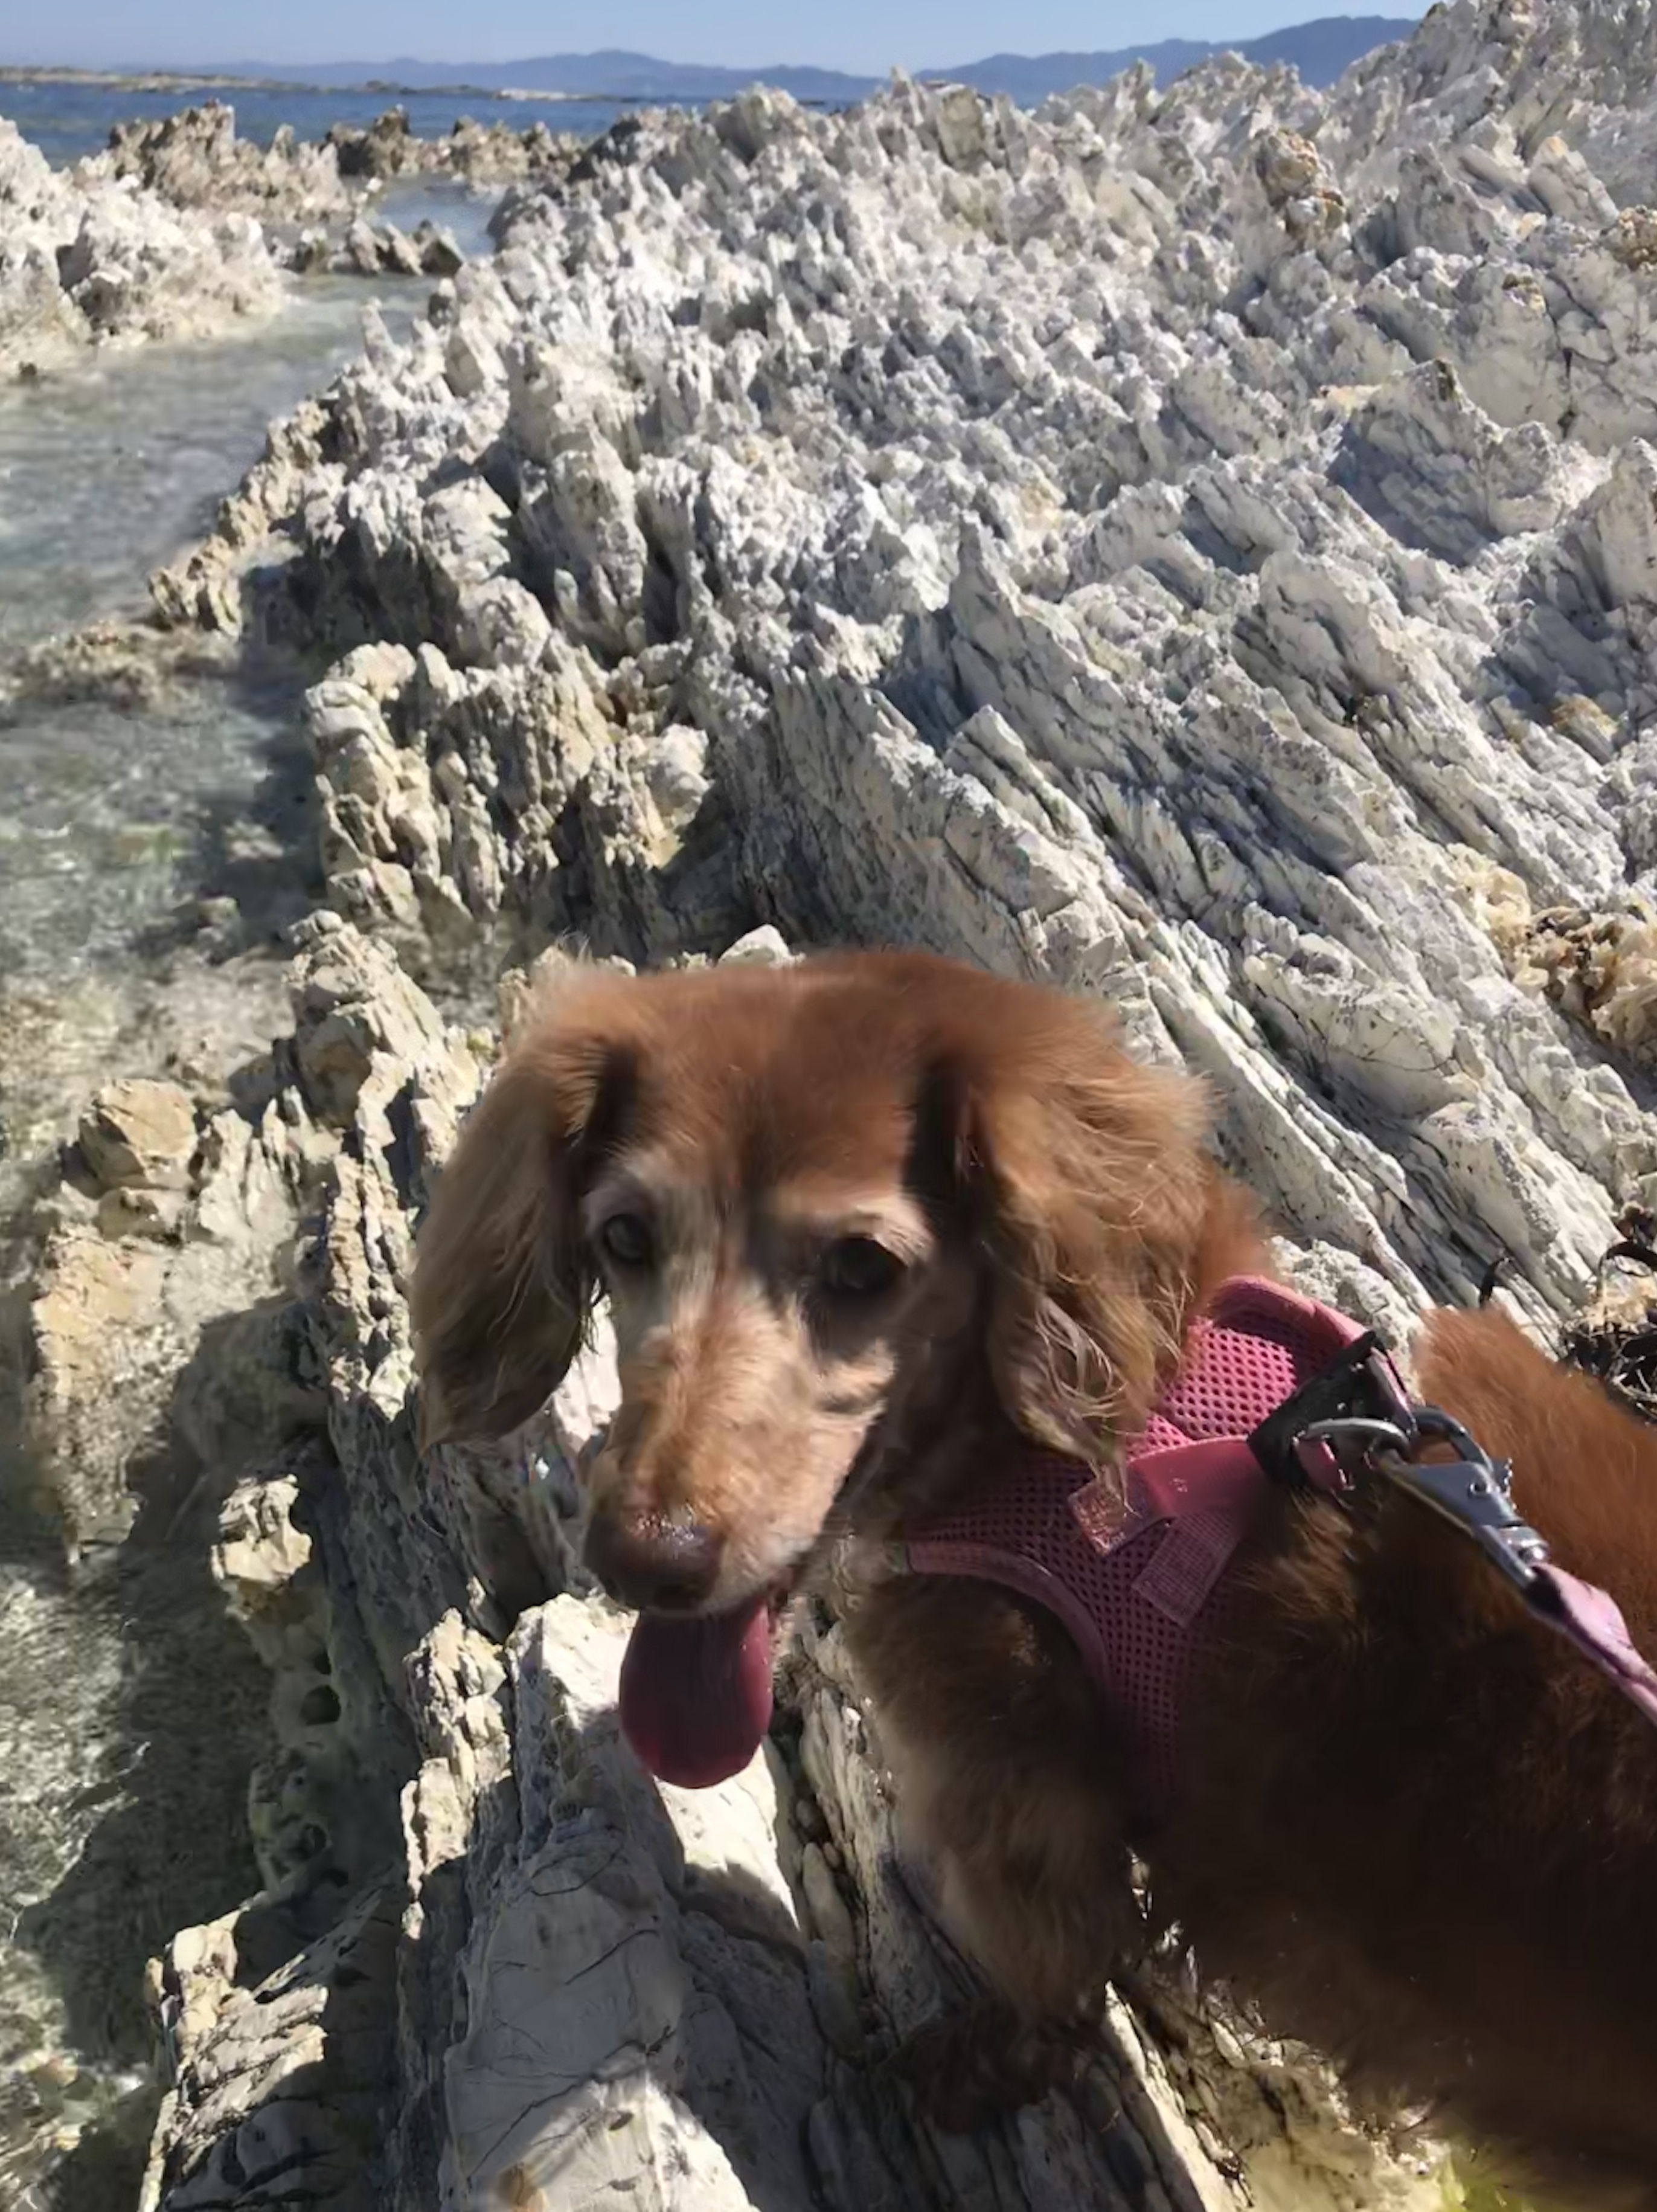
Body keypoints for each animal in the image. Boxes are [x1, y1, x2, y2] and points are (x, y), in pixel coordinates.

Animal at [411, 948, 1657, 2208]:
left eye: (860, 1265)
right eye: (625, 1237)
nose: (642, 1558)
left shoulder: (1000, 1792)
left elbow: (1046, 1978)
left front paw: (978, 2064)